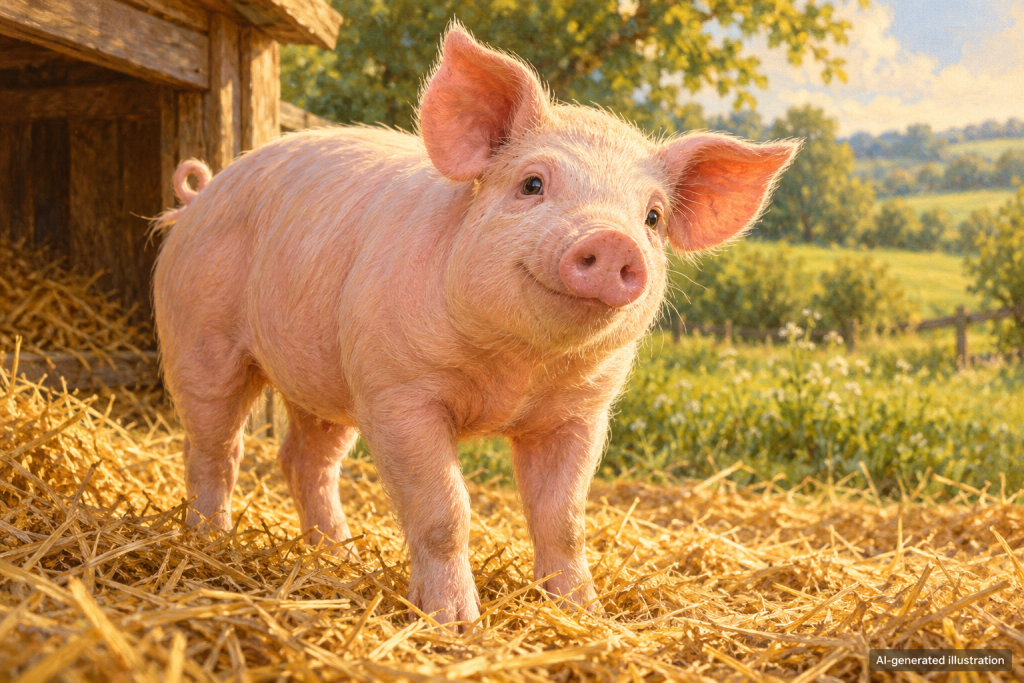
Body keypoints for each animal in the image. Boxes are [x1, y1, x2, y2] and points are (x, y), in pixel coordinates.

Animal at [153, 24, 798, 631]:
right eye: (532, 184)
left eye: (654, 218)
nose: (613, 240)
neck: (514, 372)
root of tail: (200, 195)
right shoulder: (397, 389)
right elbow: (445, 509)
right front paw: (455, 624)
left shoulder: (580, 412)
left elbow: (565, 519)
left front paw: (584, 614)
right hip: (199, 334)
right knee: (216, 446)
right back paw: (210, 542)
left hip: (325, 375)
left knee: (304, 459)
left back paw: (338, 558)